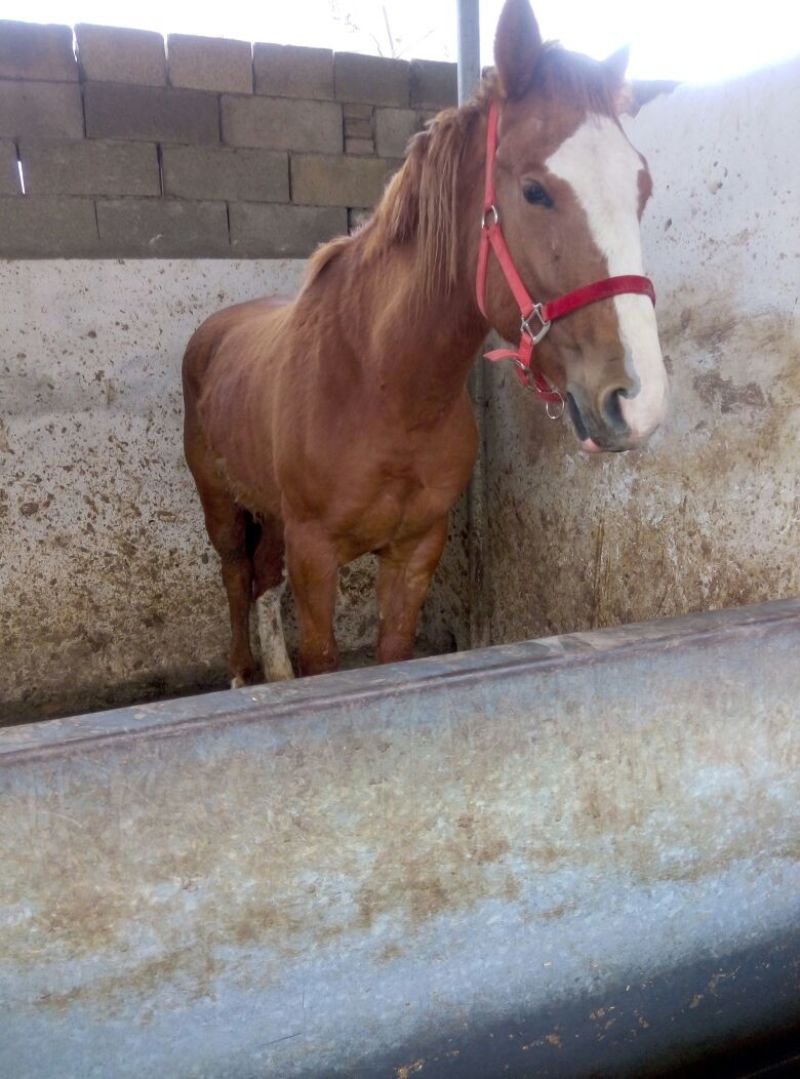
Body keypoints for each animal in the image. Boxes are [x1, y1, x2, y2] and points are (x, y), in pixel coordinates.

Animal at [182, 0, 668, 687]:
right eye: (534, 190)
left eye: (641, 188)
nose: (638, 400)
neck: (382, 385)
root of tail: (215, 330)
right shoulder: (316, 556)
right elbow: (321, 659)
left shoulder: (414, 551)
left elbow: (393, 655)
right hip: (221, 504)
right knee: (235, 577)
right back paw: (242, 676)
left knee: (261, 581)